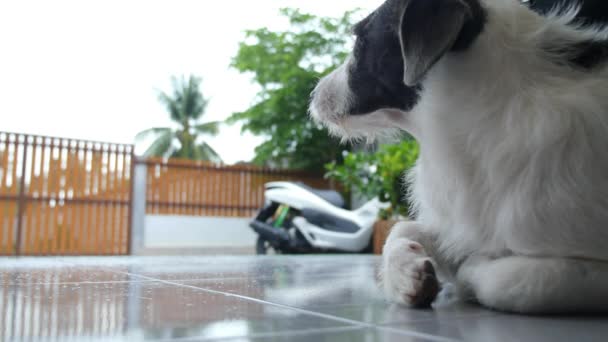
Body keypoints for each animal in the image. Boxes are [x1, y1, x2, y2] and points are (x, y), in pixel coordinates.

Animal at [312, 0, 604, 312]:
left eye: (360, 40)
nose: (313, 94)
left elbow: (517, 280)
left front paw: (470, 270)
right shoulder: (460, 226)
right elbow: (405, 227)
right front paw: (404, 273)